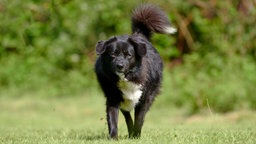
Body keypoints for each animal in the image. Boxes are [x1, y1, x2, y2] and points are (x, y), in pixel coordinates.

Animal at [94, 4, 176, 139]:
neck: (126, 78)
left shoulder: (144, 99)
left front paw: (136, 136)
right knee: (127, 116)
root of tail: (139, 35)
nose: (120, 66)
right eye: (113, 54)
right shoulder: (112, 98)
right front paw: (114, 137)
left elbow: (139, 119)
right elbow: (113, 119)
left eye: (128, 55)